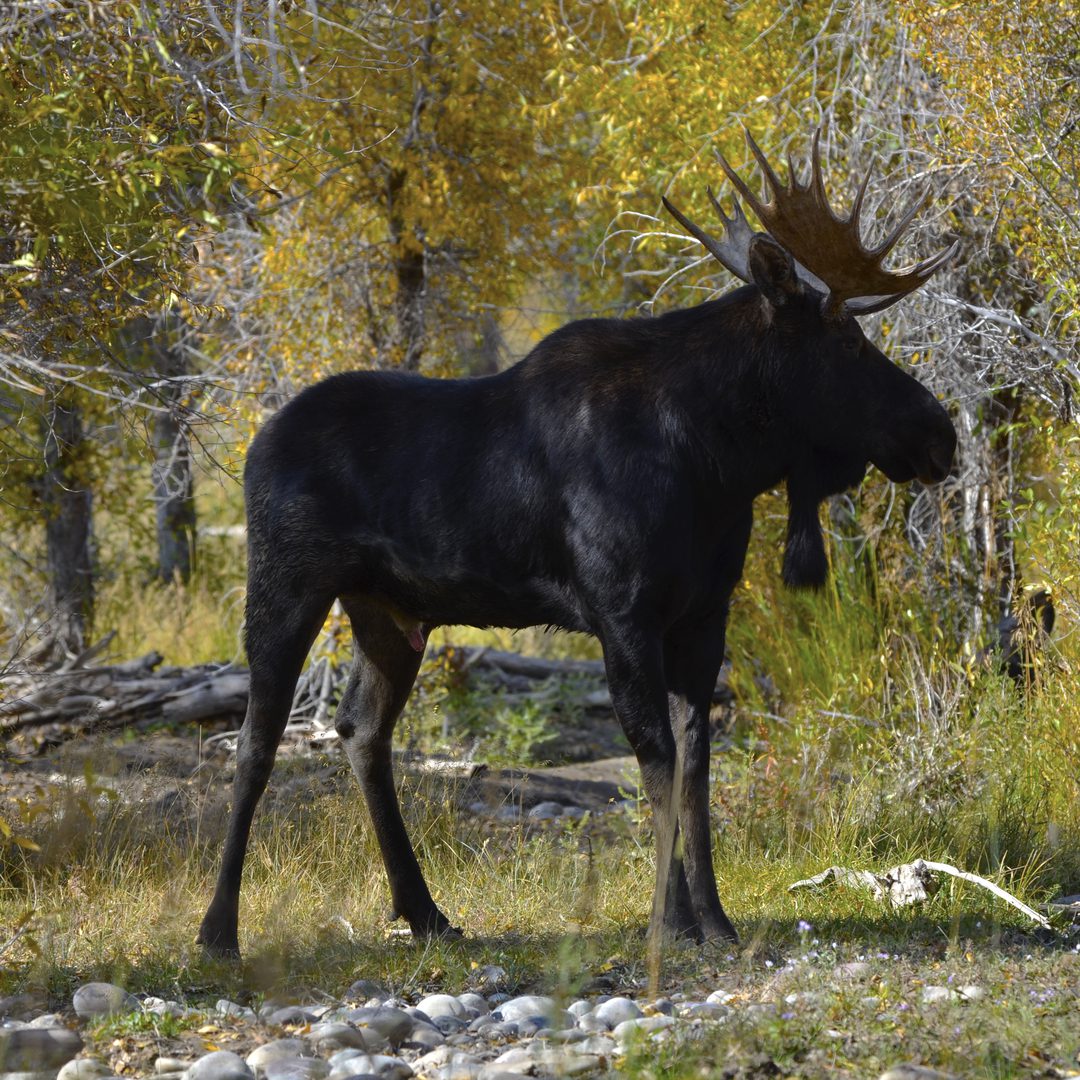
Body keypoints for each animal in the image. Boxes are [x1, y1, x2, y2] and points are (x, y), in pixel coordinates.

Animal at [198, 132, 959, 954]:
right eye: (847, 337)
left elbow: (695, 767)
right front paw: (672, 921)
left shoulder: (704, 616)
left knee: (361, 729)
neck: (718, 462)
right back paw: (219, 930)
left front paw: (716, 919)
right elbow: (656, 762)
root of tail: (256, 445)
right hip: (285, 585)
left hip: (389, 612)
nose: (939, 432)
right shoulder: (621, 613)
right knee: (256, 739)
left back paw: (427, 912)